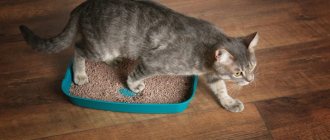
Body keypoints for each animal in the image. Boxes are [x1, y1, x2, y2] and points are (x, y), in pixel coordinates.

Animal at [20, 0, 258, 112]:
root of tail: (84, 5)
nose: (250, 80)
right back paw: (80, 75)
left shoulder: (211, 74)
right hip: (98, 46)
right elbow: (135, 75)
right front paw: (134, 87)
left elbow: (221, 89)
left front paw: (229, 103)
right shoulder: (153, 62)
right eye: (238, 72)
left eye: (252, 67)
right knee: (77, 50)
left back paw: (114, 60)